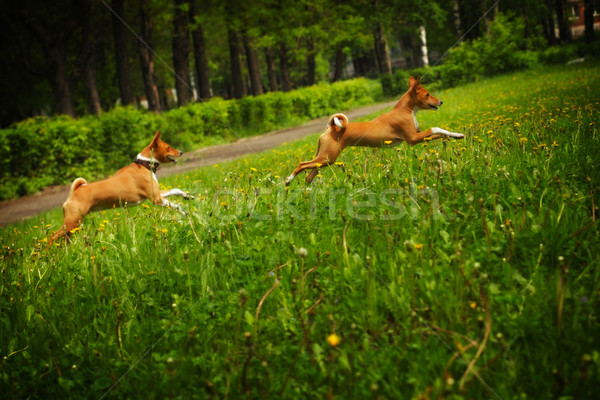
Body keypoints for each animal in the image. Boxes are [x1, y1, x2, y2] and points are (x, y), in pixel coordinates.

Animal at [51, 131, 193, 244]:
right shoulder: (156, 199)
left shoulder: (157, 193)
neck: (144, 165)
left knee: (64, 239)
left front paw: (188, 196)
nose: (181, 152)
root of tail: (74, 191)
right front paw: (184, 212)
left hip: (74, 225)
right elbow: (175, 205)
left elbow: (176, 190)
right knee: (52, 237)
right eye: (168, 147)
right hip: (72, 221)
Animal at [286, 76, 464, 186]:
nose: (441, 101)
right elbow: (436, 128)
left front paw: (457, 135)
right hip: (327, 158)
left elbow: (440, 134)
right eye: (427, 94)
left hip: (324, 159)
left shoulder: (419, 137)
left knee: (308, 176)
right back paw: (288, 180)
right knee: (302, 165)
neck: (405, 111)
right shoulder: (413, 139)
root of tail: (331, 127)